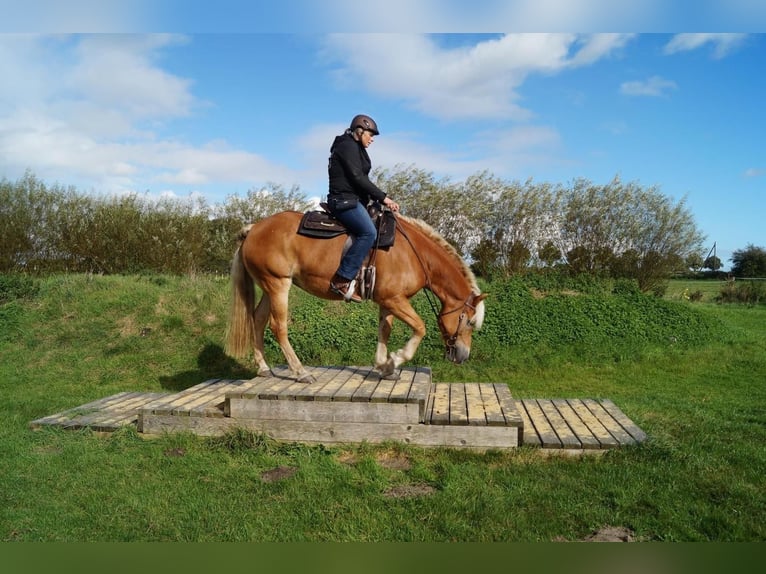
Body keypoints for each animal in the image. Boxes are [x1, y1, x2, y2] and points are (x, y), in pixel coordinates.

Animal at [226, 209, 486, 384]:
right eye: (469, 321)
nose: (463, 356)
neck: (413, 254)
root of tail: (253, 229)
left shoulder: (388, 301)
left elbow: (384, 330)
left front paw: (384, 366)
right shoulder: (395, 300)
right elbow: (420, 328)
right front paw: (395, 359)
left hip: (269, 287)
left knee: (258, 319)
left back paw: (263, 368)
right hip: (278, 285)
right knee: (278, 326)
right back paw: (301, 372)